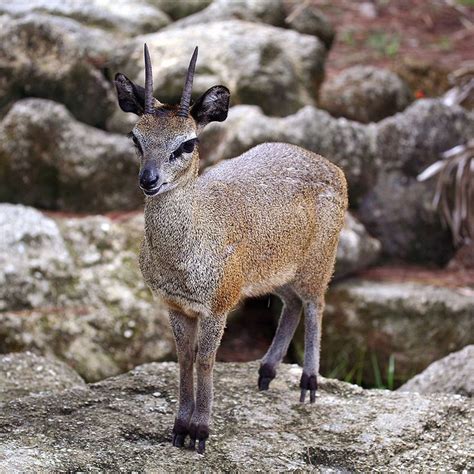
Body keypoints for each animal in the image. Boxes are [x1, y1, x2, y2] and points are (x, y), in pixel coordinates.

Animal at [115, 45, 348, 456]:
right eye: (135, 137)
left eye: (187, 143)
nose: (149, 180)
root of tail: (335, 169)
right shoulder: (176, 305)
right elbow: (184, 358)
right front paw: (178, 429)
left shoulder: (219, 305)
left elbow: (207, 360)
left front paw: (200, 431)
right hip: (275, 272)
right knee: (290, 304)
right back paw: (266, 373)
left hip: (318, 263)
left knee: (315, 304)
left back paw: (308, 384)